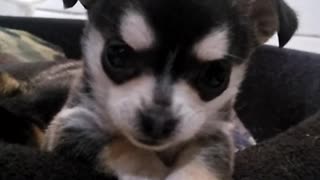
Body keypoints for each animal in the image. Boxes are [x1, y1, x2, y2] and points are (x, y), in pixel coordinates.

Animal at [42, 0, 298, 179]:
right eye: (118, 55)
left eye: (216, 76)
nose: (157, 122)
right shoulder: (73, 123)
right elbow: (123, 146)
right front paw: (150, 172)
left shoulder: (214, 135)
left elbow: (205, 161)